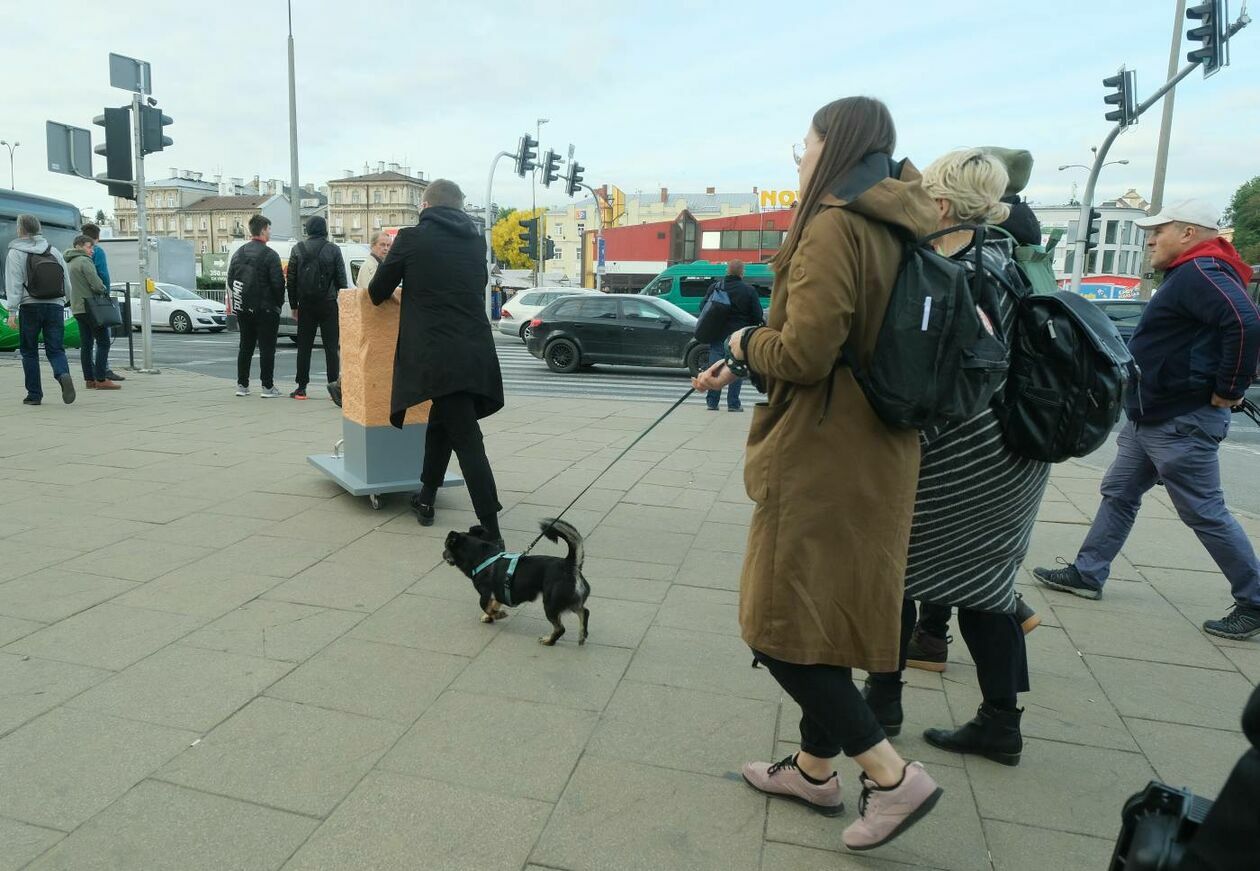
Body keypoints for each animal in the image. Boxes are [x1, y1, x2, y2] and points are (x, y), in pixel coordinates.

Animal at [443, 516, 589, 645]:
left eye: (446, 547)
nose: (443, 554)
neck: (482, 556)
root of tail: (570, 565)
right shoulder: (499, 592)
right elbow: (494, 604)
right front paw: (491, 616)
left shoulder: (485, 593)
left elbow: (485, 605)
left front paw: (497, 615)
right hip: (568, 600)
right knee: (584, 611)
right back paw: (582, 634)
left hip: (551, 603)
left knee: (561, 628)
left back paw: (549, 641)